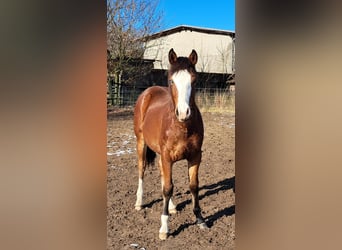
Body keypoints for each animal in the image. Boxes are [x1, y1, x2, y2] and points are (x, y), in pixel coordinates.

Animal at [133, 48, 208, 240]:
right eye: (171, 81)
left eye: (194, 80)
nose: (183, 112)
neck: (181, 126)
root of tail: (148, 92)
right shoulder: (167, 157)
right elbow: (167, 188)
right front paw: (164, 228)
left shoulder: (195, 157)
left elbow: (193, 186)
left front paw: (200, 219)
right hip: (141, 143)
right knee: (142, 170)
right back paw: (139, 203)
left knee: (162, 174)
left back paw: (173, 206)